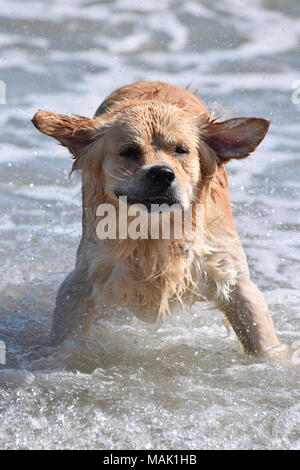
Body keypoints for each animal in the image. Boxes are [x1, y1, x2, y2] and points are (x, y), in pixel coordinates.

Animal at [31, 81, 288, 356]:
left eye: (181, 150)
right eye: (129, 151)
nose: (163, 174)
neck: (155, 232)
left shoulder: (233, 276)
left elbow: (262, 341)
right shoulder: (86, 275)